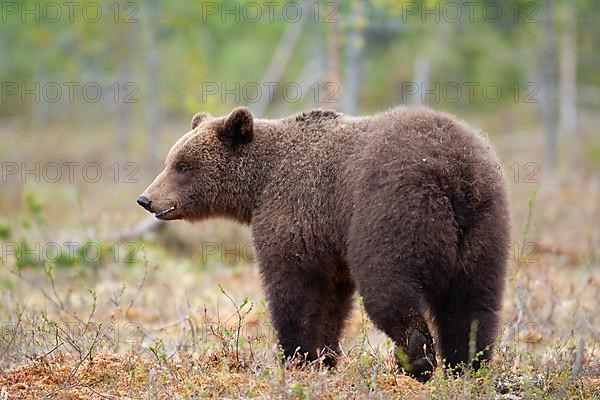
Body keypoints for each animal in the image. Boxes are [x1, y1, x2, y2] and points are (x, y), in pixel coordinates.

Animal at [138, 106, 508, 382]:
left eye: (182, 165)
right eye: (172, 160)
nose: (146, 199)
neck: (259, 185)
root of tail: (452, 171)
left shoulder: (294, 212)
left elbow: (294, 289)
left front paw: (295, 356)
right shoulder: (328, 240)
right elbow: (332, 300)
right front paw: (324, 356)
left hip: (392, 211)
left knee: (388, 287)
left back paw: (416, 357)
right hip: (484, 223)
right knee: (474, 301)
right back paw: (468, 364)